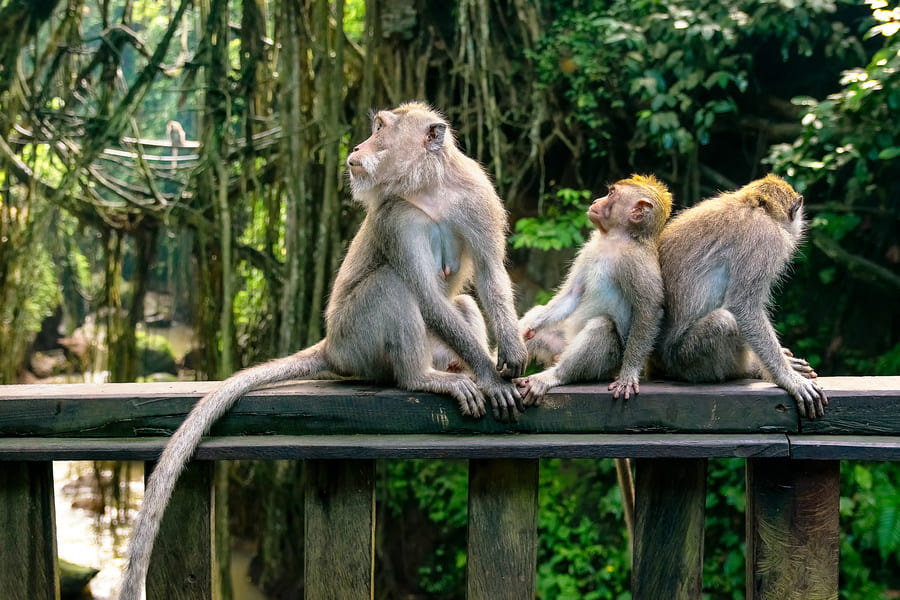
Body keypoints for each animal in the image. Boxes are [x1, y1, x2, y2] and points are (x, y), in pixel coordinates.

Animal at [116, 102, 527, 600]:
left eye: (380, 129)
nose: (358, 146)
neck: (429, 189)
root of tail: (331, 345)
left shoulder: (476, 196)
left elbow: (487, 273)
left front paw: (510, 357)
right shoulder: (394, 219)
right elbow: (427, 295)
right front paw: (489, 376)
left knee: (461, 303)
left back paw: (453, 365)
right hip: (356, 338)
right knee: (391, 286)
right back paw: (424, 378)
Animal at [514, 174, 673, 405]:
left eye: (611, 194)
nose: (596, 200)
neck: (615, 239)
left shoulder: (635, 260)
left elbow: (650, 309)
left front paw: (629, 375)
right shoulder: (590, 249)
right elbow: (571, 295)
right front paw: (524, 329)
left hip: (606, 364)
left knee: (602, 326)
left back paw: (554, 375)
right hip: (561, 344)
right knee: (541, 320)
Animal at [655, 173, 827, 418]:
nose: (799, 226)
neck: (755, 206)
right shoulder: (766, 239)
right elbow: (743, 306)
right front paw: (788, 379)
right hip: (684, 361)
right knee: (725, 321)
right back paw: (751, 369)